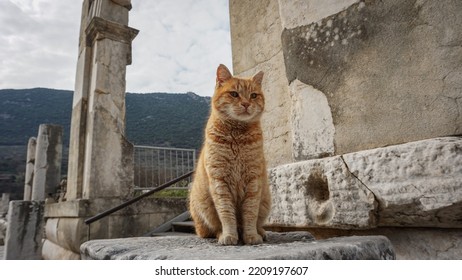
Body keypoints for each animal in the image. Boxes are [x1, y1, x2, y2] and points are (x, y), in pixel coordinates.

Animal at [189, 64, 272, 245]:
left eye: (253, 95)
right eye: (234, 94)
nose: (246, 103)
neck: (237, 137)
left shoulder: (253, 182)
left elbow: (250, 214)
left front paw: (251, 236)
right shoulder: (220, 182)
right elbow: (226, 214)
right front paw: (229, 235)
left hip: (265, 201)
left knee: (258, 221)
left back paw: (261, 231)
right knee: (211, 229)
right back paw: (221, 234)